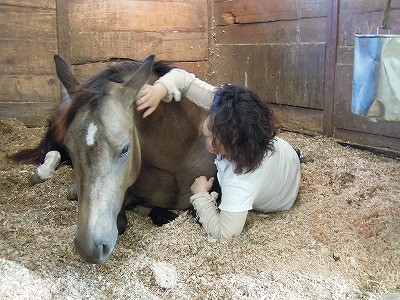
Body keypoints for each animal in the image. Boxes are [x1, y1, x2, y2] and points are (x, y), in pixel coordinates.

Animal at [10, 55, 216, 264]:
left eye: (125, 149)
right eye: (70, 147)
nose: (89, 248)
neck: (176, 156)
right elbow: (127, 221)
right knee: (52, 152)